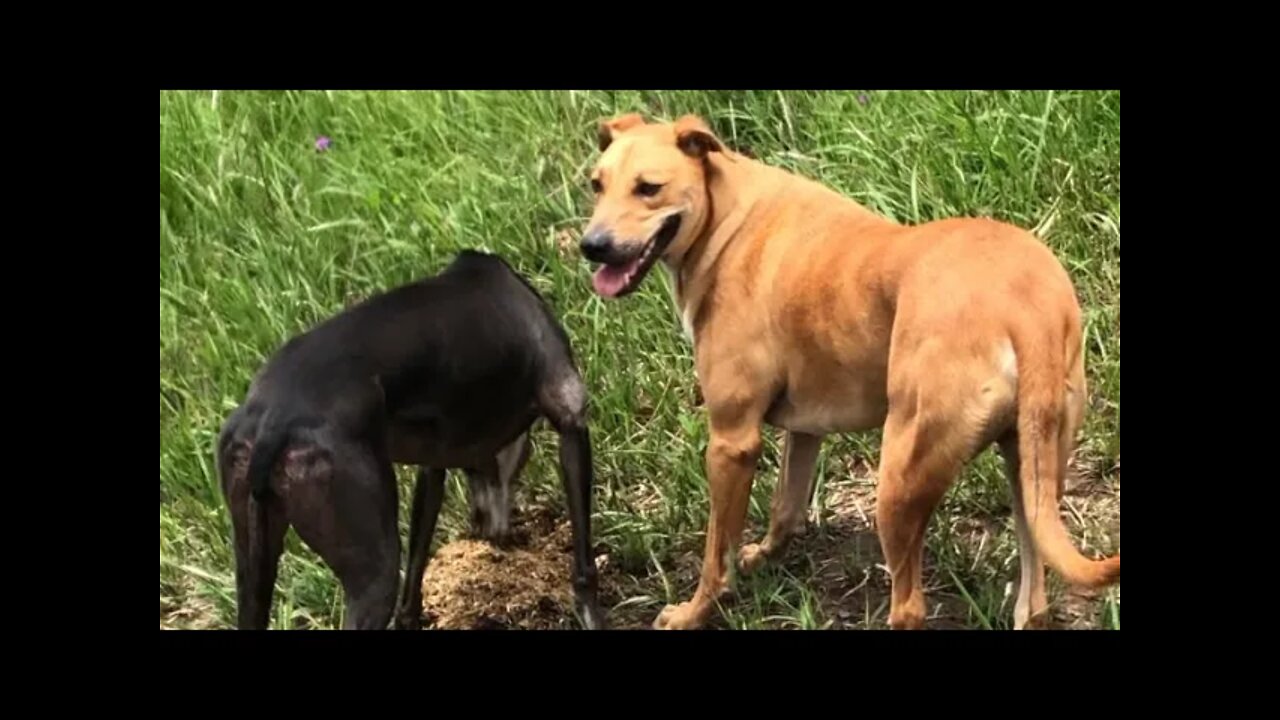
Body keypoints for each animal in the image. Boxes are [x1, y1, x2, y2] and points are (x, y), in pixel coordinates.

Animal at [216, 248, 604, 627]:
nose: (490, 534)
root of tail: (273, 421)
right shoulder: (571, 420)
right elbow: (584, 565)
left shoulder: (434, 467)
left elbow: (413, 580)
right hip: (375, 567)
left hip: (252, 563)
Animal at [581, 112, 1121, 627]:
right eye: (595, 184)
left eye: (649, 188)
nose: (592, 246)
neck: (726, 217)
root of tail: (1024, 306)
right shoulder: (805, 428)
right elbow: (785, 507)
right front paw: (763, 557)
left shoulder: (731, 442)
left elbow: (715, 552)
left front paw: (695, 611)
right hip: (1030, 471)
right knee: (1033, 596)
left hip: (900, 475)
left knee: (909, 607)